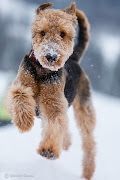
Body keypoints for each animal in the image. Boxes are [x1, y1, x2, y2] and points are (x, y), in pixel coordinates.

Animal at [5, 2, 95, 180]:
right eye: (43, 32)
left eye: (63, 34)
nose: (51, 56)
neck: (43, 71)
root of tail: (74, 59)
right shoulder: (19, 85)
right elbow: (20, 95)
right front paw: (24, 121)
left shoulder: (53, 103)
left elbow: (55, 123)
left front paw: (49, 150)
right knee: (67, 127)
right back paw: (66, 143)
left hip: (84, 108)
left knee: (88, 142)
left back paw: (87, 171)